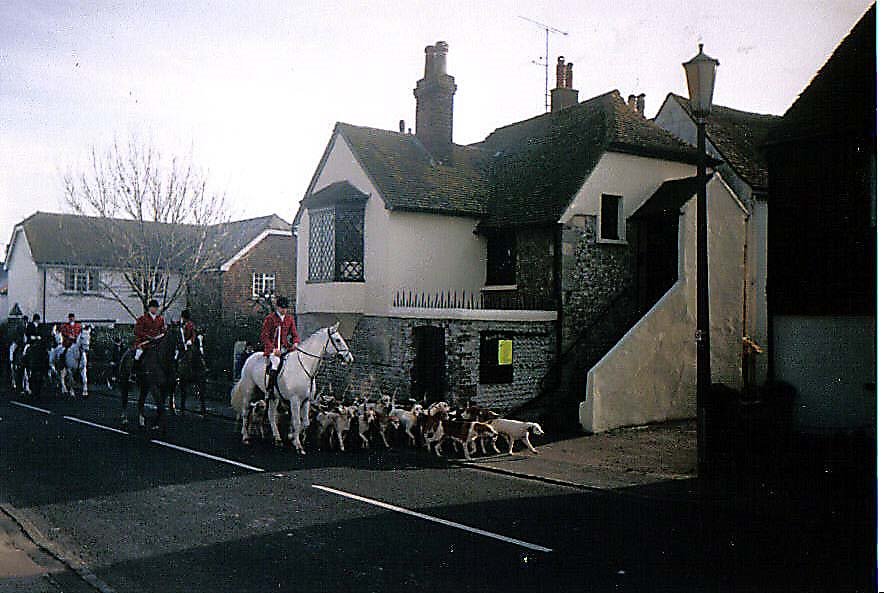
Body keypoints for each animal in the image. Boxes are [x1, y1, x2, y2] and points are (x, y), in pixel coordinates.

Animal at [233, 324, 354, 454]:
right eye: (337, 340)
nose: (349, 358)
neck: (305, 367)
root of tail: (250, 357)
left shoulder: (306, 401)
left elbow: (305, 423)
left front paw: (292, 437)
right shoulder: (295, 400)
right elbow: (297, 422)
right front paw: (298, 446)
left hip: (273, 397)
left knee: (271, 415)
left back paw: (277, 438)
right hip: (249, 392)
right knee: (246, 412)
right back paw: (245, 437)